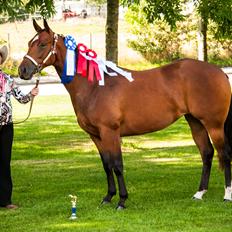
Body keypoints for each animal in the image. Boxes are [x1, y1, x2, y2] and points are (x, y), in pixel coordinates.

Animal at [18, 19, 232, 209]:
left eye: (43, 44)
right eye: (29, 43)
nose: (23, 70)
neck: (94, 86)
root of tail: (220, 72)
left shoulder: (110, 132)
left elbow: (117, 165)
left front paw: (121, 201)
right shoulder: (96, 135)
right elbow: (106, 165)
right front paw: (108, 197)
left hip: (214, 125)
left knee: (225, 154)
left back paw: (227, 196)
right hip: (195, 122)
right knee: (207, 153)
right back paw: (199, 193)